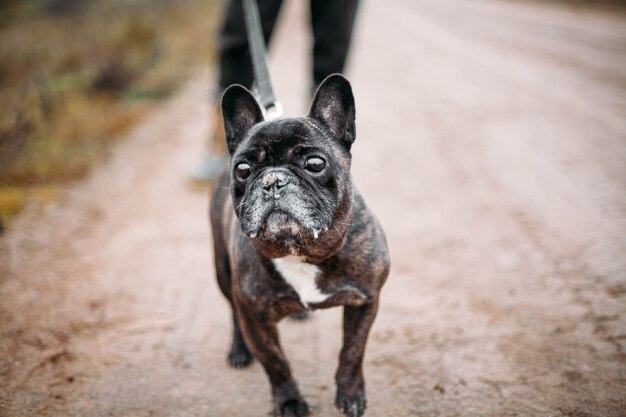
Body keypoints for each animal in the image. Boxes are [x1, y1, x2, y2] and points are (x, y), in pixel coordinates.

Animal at [212, 75, 388, 416]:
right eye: (242, 170)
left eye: (316, 163)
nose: (272, 181)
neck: (300, 251)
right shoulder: (255, 317)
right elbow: (276, 363)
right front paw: (289, 402)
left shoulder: (365, 300)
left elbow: (352, 351)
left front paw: (350, 394)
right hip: (223, 272)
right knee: (233, 311)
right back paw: (239, 350)